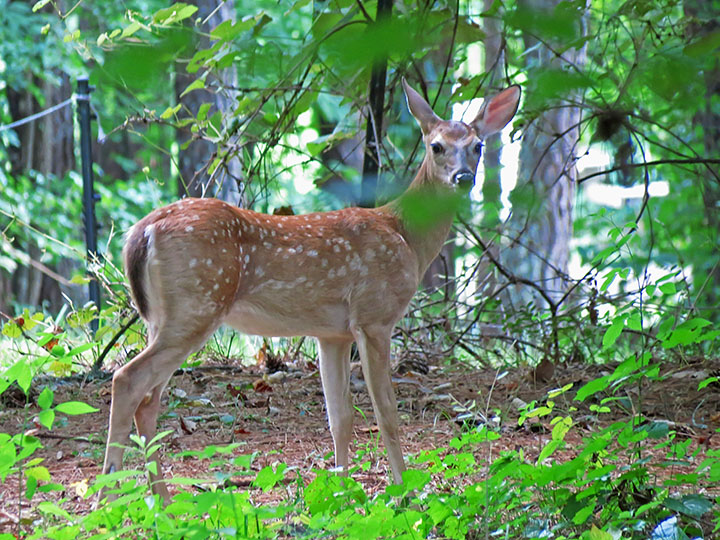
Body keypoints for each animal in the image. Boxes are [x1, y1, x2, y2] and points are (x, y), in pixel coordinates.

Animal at [100, 78, 520, 501]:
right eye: (436, 146)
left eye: (477, 146)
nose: (463, 177)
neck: (406, 237)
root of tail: (142, 232)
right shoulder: (374, 316)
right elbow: (386, 413)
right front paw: (404, 491)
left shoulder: (331, 333)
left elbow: (340, 417)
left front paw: (342, 490)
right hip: (197, 304)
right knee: (127, 380)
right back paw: (108, 496)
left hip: (162, 316)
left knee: (148, 399)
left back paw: (163, 501)